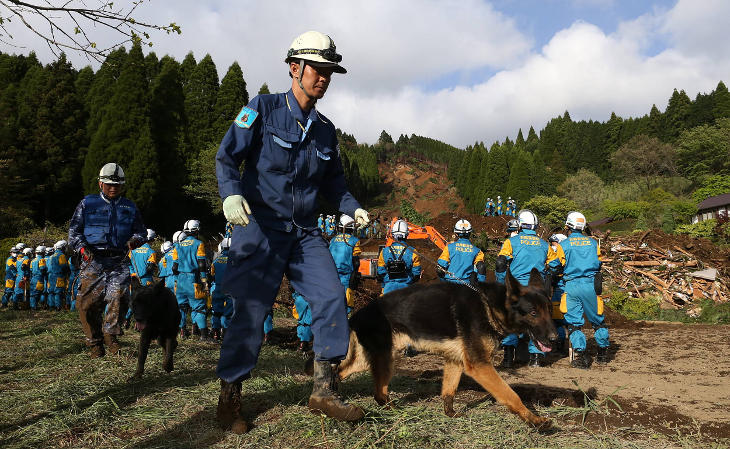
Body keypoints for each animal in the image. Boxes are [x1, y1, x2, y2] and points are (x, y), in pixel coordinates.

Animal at [338, 268, 556, 426]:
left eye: (549, 310)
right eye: (533, 313)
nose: (555, 338)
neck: (490, 307)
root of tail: (357, 315)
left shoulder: (455, 360)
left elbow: (449, 391)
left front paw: (449, 414)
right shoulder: (480, 366)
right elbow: (510, 394)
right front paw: (534, 420)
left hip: (372, 359)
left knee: (342, 372)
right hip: (384, 358)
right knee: (379, 393)